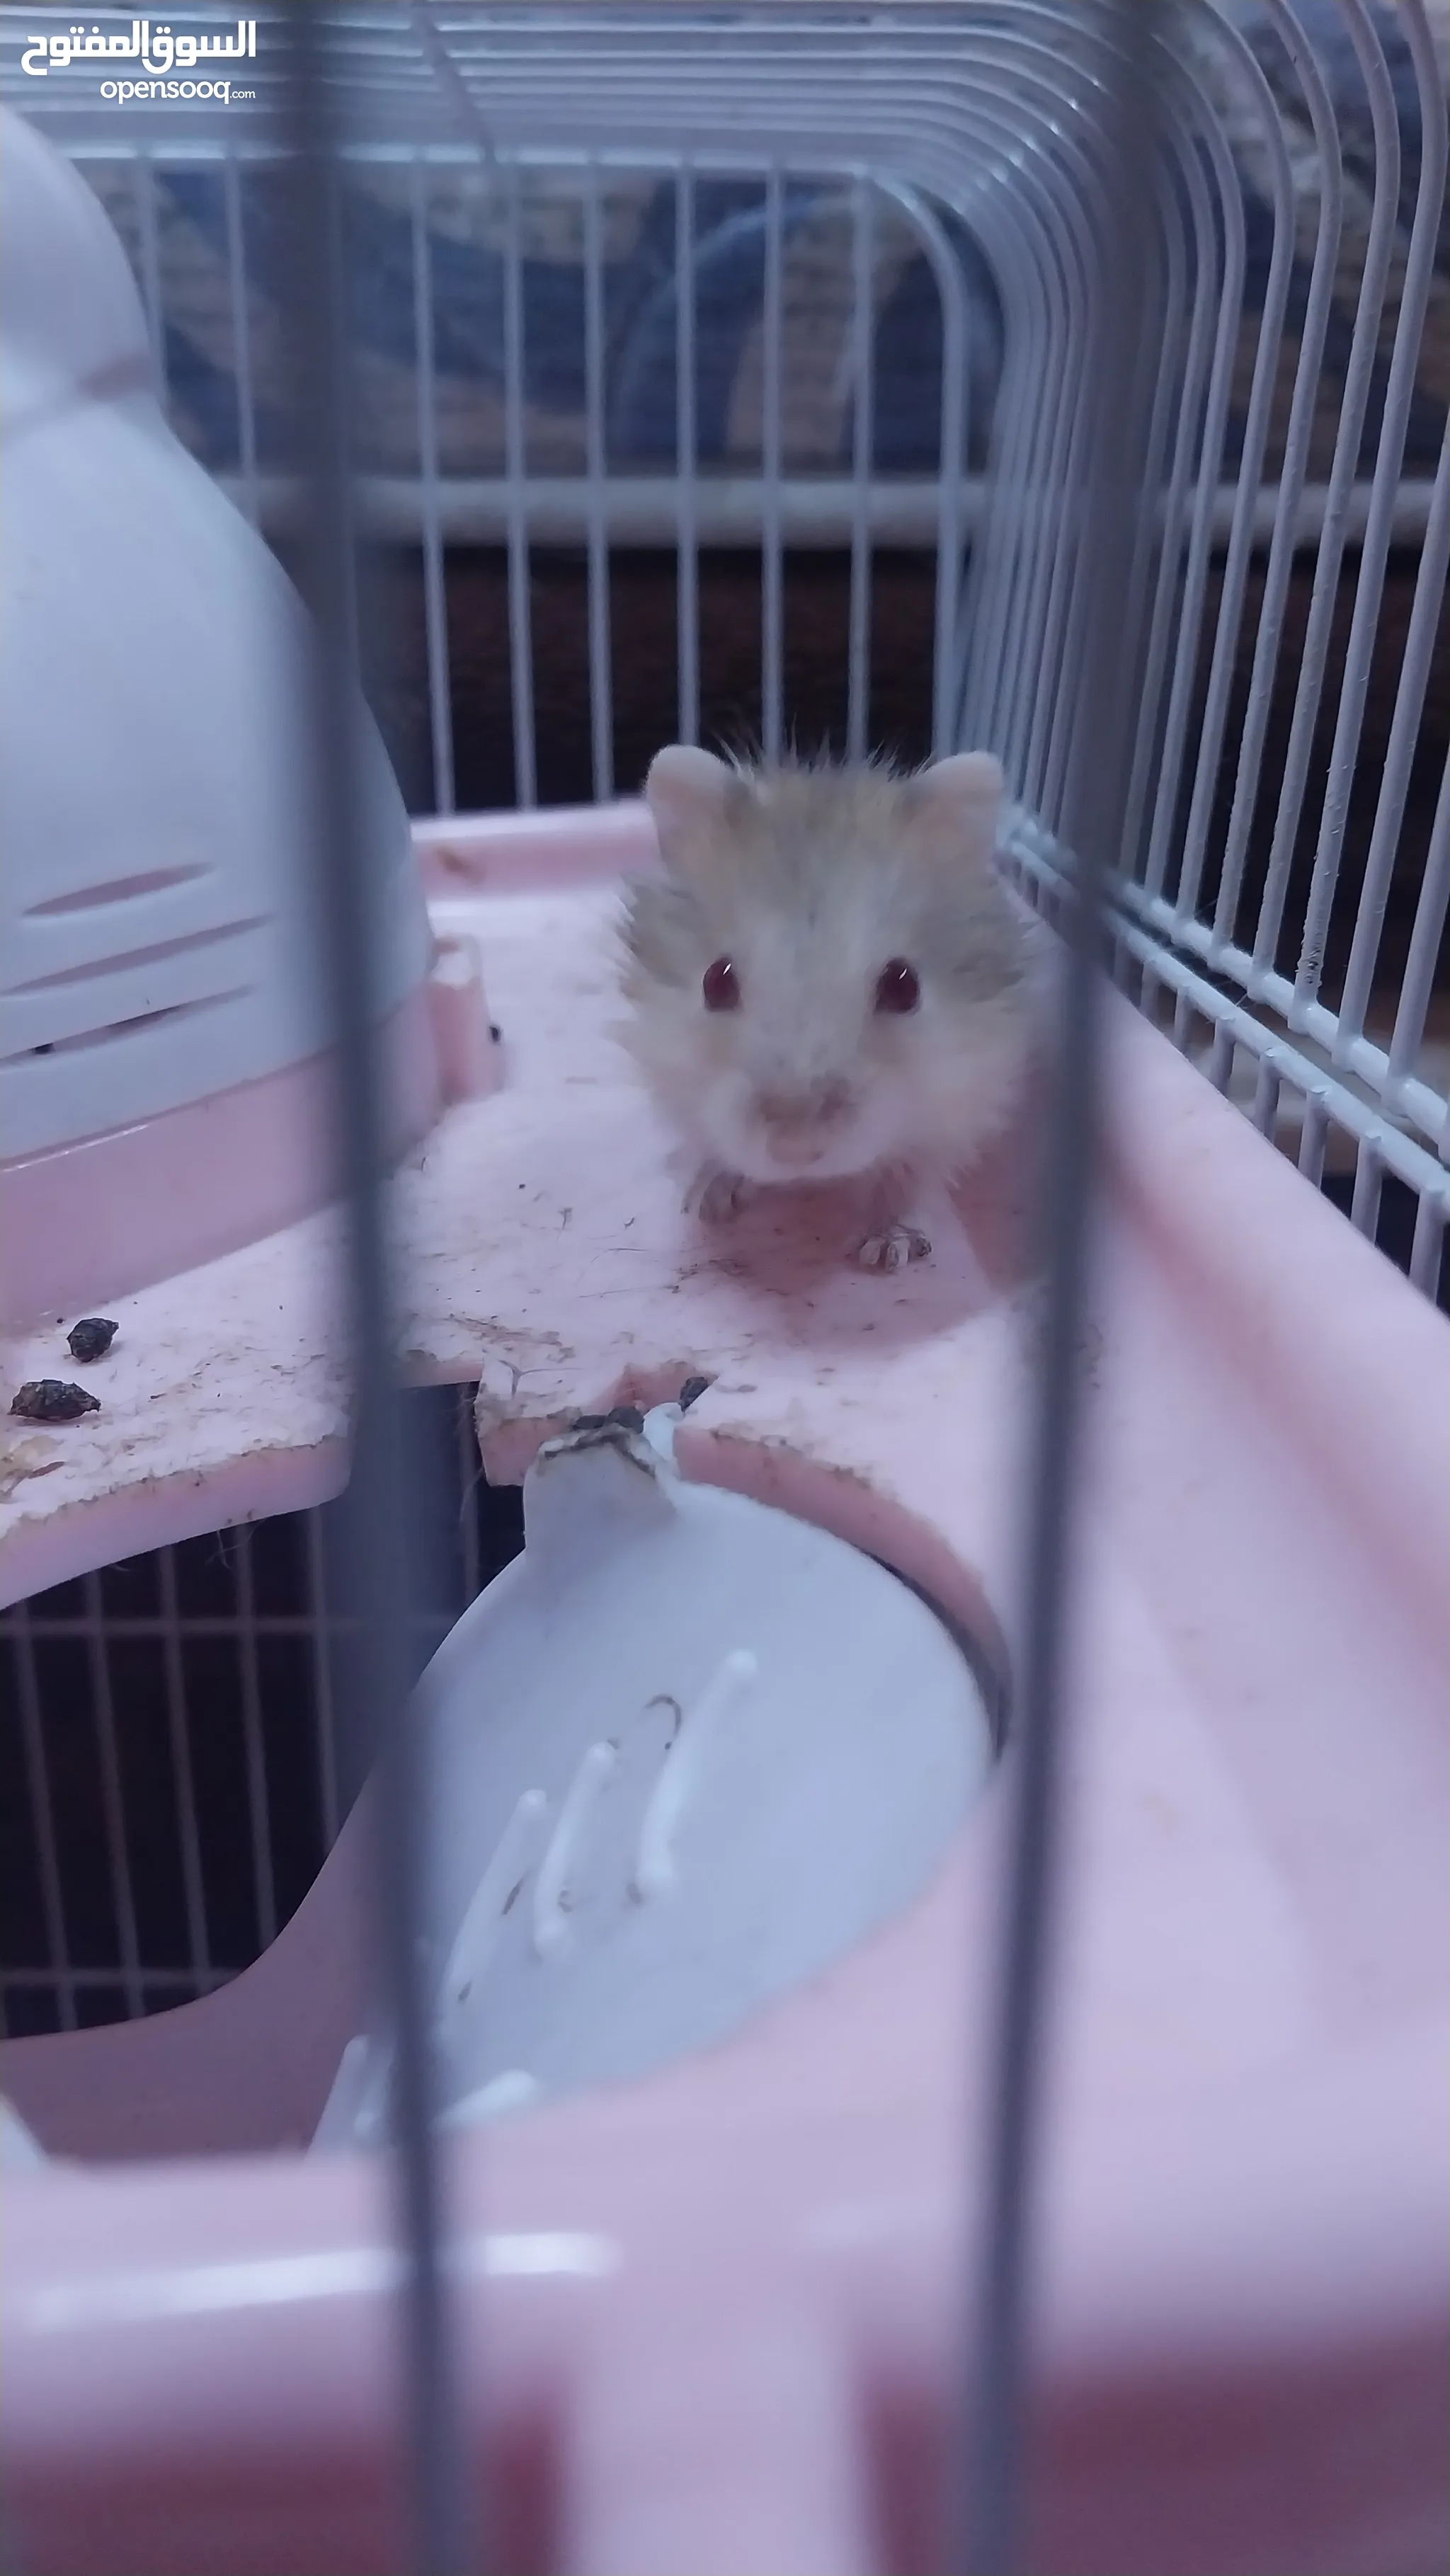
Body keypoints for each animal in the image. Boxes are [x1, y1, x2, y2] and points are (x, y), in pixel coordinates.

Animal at [617, 743, 1045, 1270]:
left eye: (905, 986)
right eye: (715, 982)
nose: (796, 1151)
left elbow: (903, 1179)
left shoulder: (958, 1105)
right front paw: (707, 1203)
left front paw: (887, 1250)